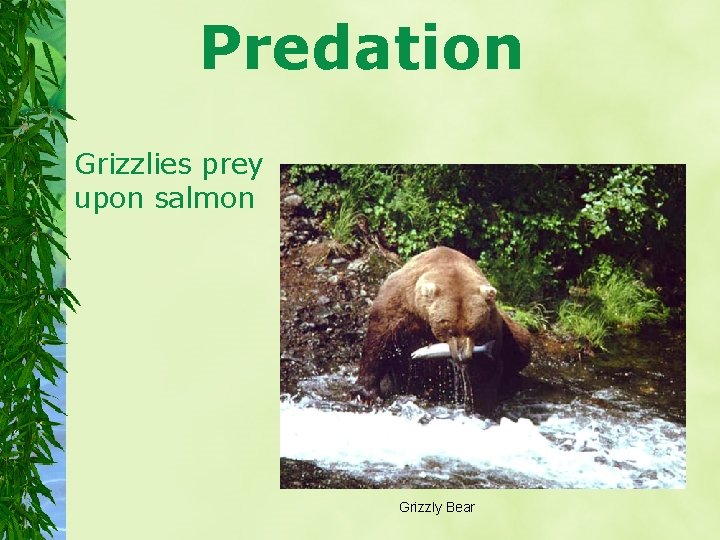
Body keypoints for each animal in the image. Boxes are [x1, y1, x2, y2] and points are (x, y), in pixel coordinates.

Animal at [357, 246, 531, 415]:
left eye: (473, 330)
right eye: (450, 329)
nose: (463, 356)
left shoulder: (491, 326)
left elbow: (486, 369)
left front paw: (480, 407)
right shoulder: (398, 305)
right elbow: (378, 343)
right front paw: (366, 395)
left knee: (521, 348)